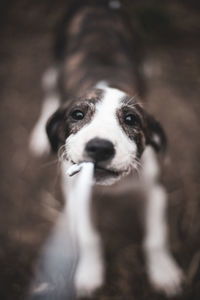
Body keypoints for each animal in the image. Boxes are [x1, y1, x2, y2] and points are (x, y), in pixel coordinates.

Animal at [28, 0, 184, 298]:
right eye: (77, 115)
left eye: (131, 120)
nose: (99, 147)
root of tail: (99, 3)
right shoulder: (77, 196)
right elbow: (89, 237)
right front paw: (89, 274)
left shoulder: (155, 191)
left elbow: (156, 237)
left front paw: (164, 272)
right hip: (56, 57)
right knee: (49, 84)